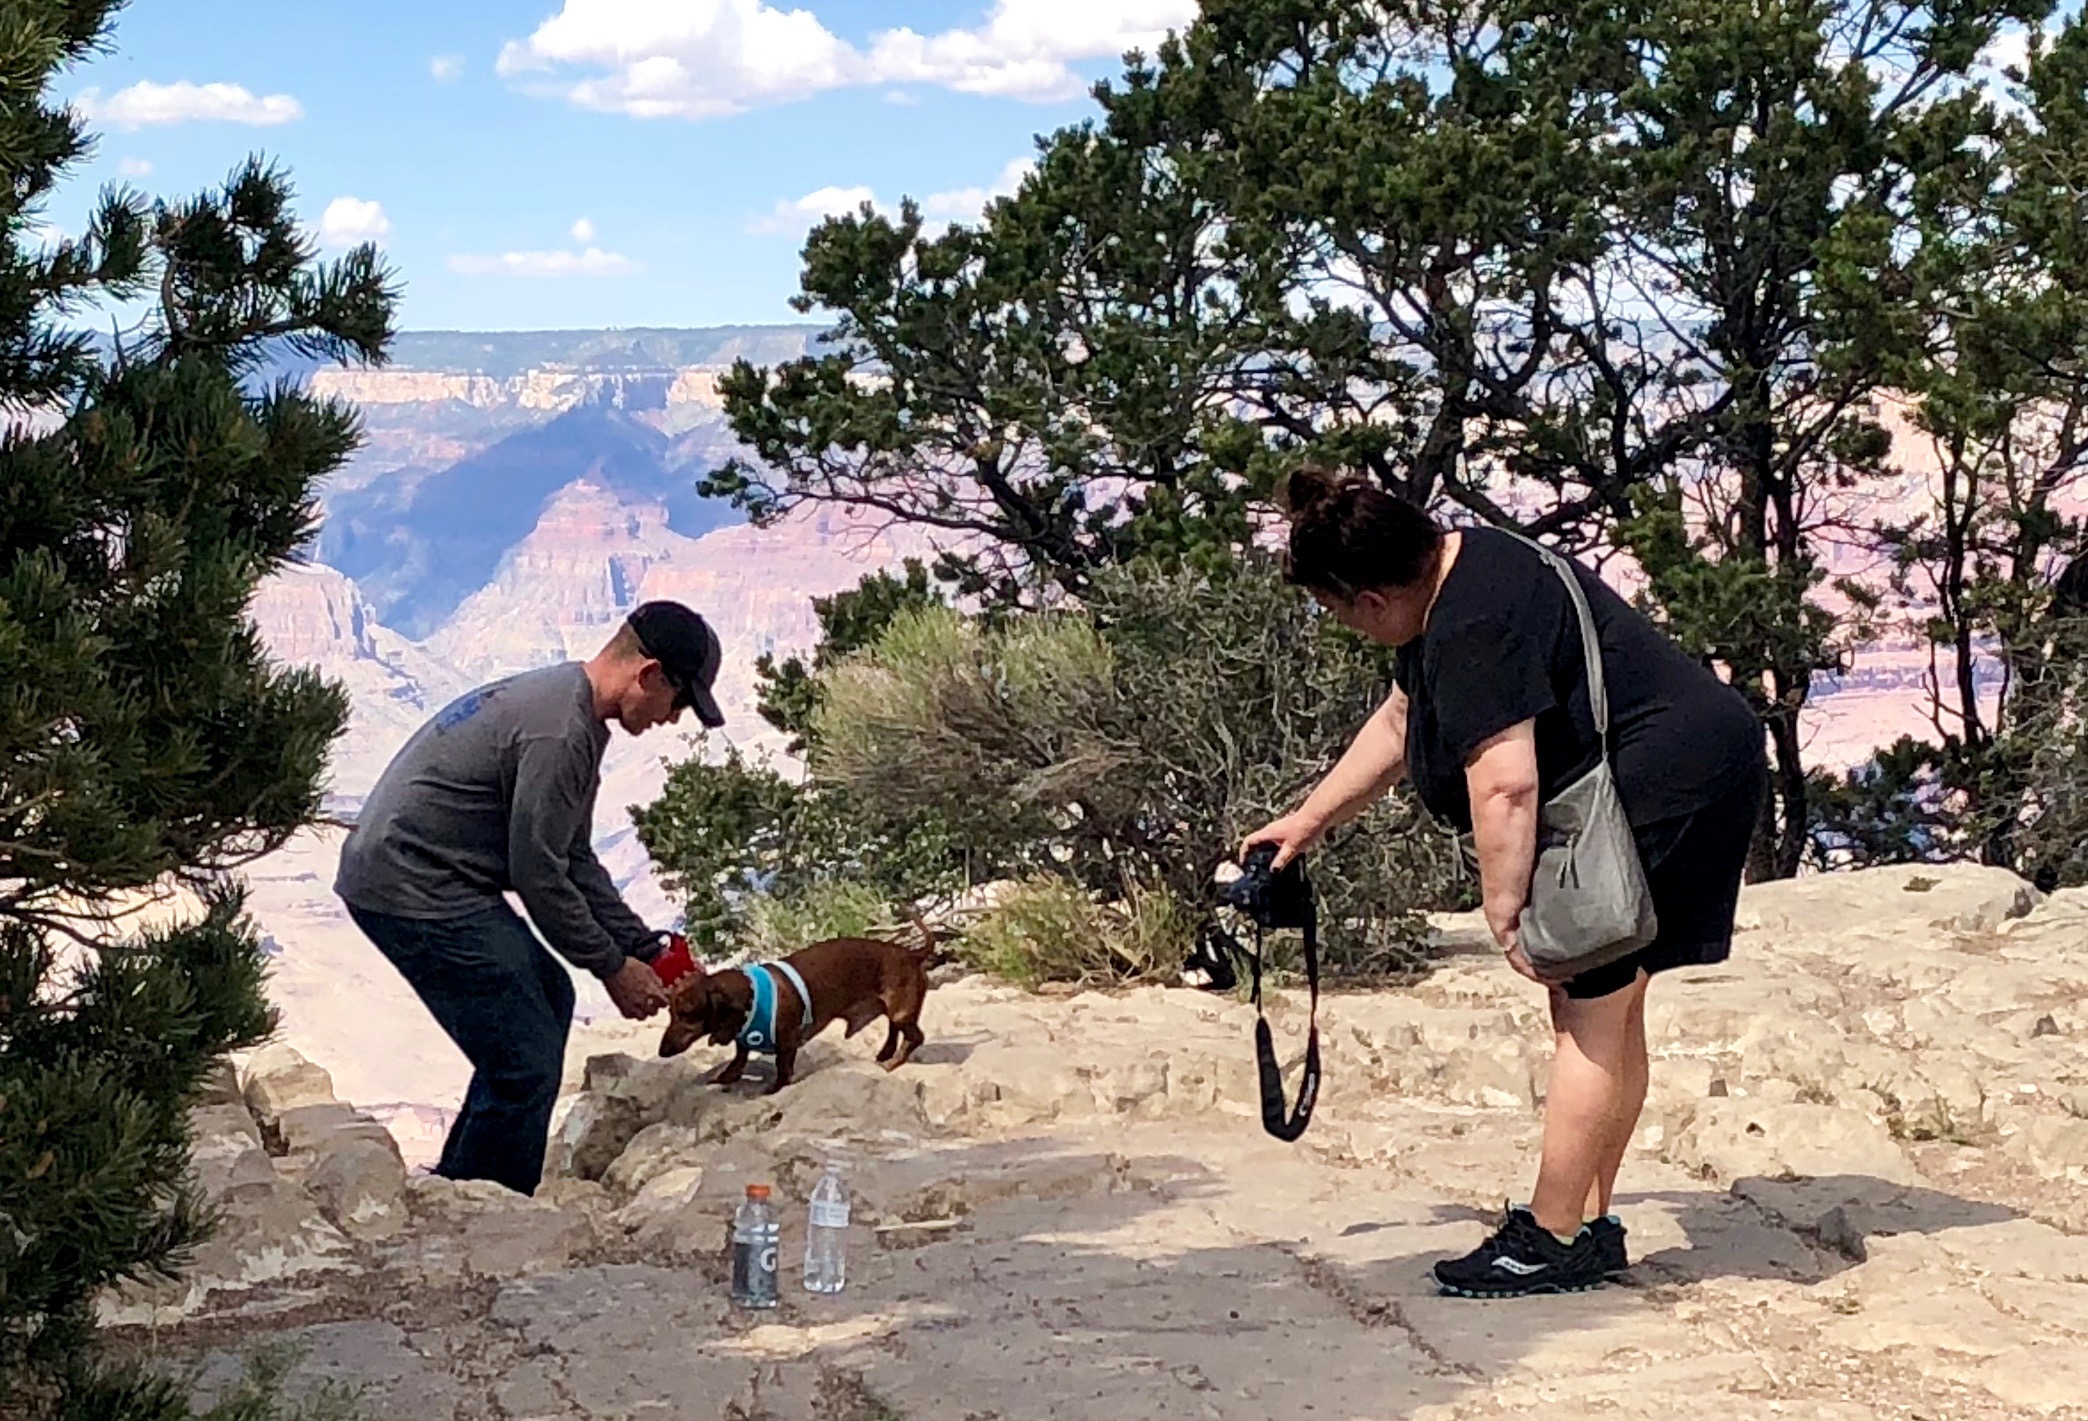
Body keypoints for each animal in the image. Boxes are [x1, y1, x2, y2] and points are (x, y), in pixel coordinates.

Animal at [657, 915, 936, 1094]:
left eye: (686, 1014)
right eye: (671, 1013)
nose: (662, 1051)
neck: (750, 996)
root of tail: (912, 954)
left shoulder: (787, 1041)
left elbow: (782, 1068)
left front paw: (773, 1088)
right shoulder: (742, 1038)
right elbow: (740, 1055)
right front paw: (726, 1076)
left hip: (901, 1011)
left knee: (914, 1036)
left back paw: (892, 1062)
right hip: (895, 1010)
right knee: (894, 1030)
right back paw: (884, 1054)